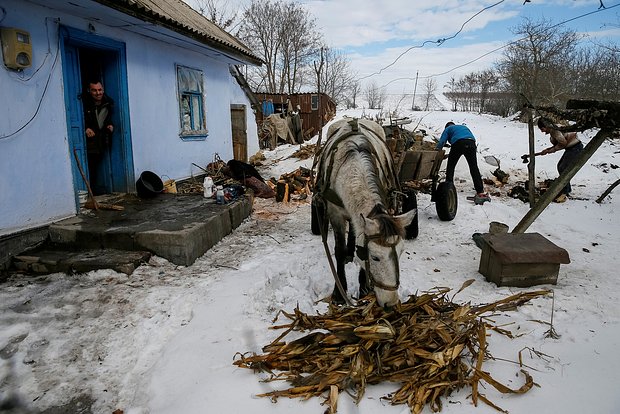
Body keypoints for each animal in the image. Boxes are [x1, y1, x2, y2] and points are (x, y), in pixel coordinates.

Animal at [314, 118, 416, 306]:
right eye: (375, 257)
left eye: (401, 252)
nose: (391, 303)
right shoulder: (335, 213)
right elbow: (339, 251)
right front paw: (339, 293)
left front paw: (363, 289)